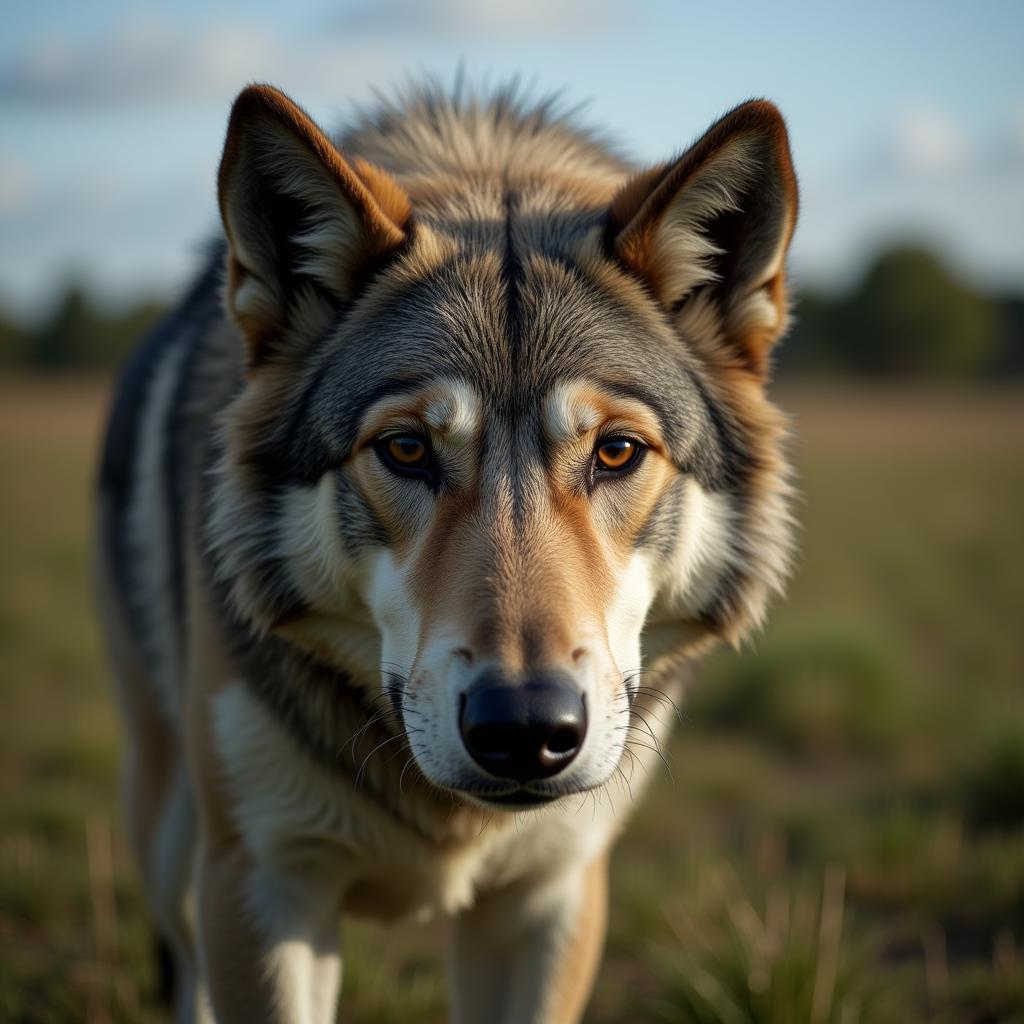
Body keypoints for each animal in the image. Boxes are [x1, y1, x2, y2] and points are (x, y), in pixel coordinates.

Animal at [94, 81, 798, 1024]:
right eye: (406, 450)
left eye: (616, 452)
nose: (527, 728)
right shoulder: (262, 885)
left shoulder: (549, 897)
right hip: (171, 842)